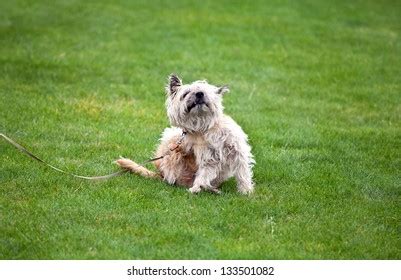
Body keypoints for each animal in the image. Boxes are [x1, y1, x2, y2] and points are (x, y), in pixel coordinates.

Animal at [115, 74, 253, 195]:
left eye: (204, 91)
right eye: (186, 94)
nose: (199, 94)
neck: (205, 127)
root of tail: (161, 174)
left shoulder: (237, 151)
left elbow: (243, 172)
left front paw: (246, 191)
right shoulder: (209, 158)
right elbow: (204, 175)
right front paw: (196, 188)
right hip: (171, 139)